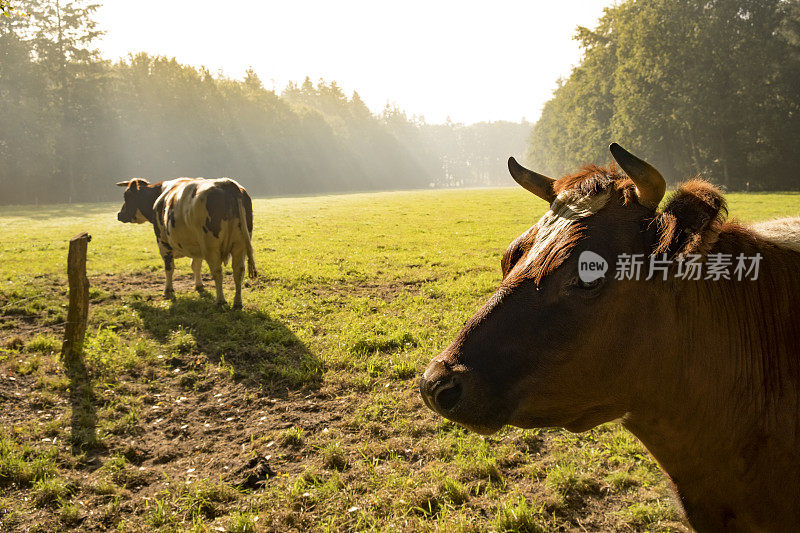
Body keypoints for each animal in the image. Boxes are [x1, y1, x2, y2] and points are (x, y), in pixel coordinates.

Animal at [116, 177, 256, 308]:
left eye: (126, 196)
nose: (119, 214)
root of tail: (226, 183)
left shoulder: (163, 242)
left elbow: (169, 268)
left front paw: (168, 292)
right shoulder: (197, 245)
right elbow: (195, 265)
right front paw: (199, 285)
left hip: (211, 245)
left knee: (217, 271)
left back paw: (220, 301)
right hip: (240, 244)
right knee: (238, 271)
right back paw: (237, 303)